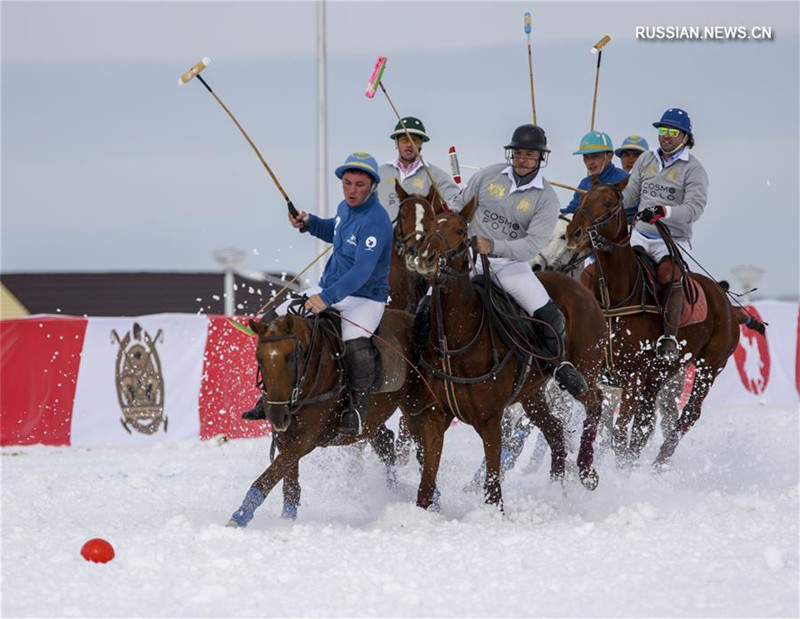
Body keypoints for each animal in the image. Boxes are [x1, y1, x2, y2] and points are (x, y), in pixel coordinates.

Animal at [227, 310, 424, 528]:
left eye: (291, 357)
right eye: (259, 359)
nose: (277, 417)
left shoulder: (306, 439)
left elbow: (270, 476)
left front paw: (239, 516)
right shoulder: (286, 436)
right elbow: (289, 483)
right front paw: (287, 520)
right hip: (372, 419)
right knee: (385, 443)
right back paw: (392, 489)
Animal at [406, 197, 608, 508]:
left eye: (460, 231)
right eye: (427, 227)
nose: (426, 258)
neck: (458, 339)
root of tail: (581, 289)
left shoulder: (490, 420)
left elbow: (493, 486)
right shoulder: (434, 416)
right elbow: (426, 484)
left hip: (587, 366)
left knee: (595, 401)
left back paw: (586, 471)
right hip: (531, 394)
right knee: (555, 431)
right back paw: (556, 490)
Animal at [564, 183, 740, 464]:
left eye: (608, 203)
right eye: (583, 198)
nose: (574, 232)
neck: (615, 297)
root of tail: (723, 296)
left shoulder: (633, 376)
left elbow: (619, 431)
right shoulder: (598, 373)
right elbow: (609, 426)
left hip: (710, 365)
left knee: (689, 413)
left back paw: (660, 462)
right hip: (660, 374)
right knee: (646, 423)